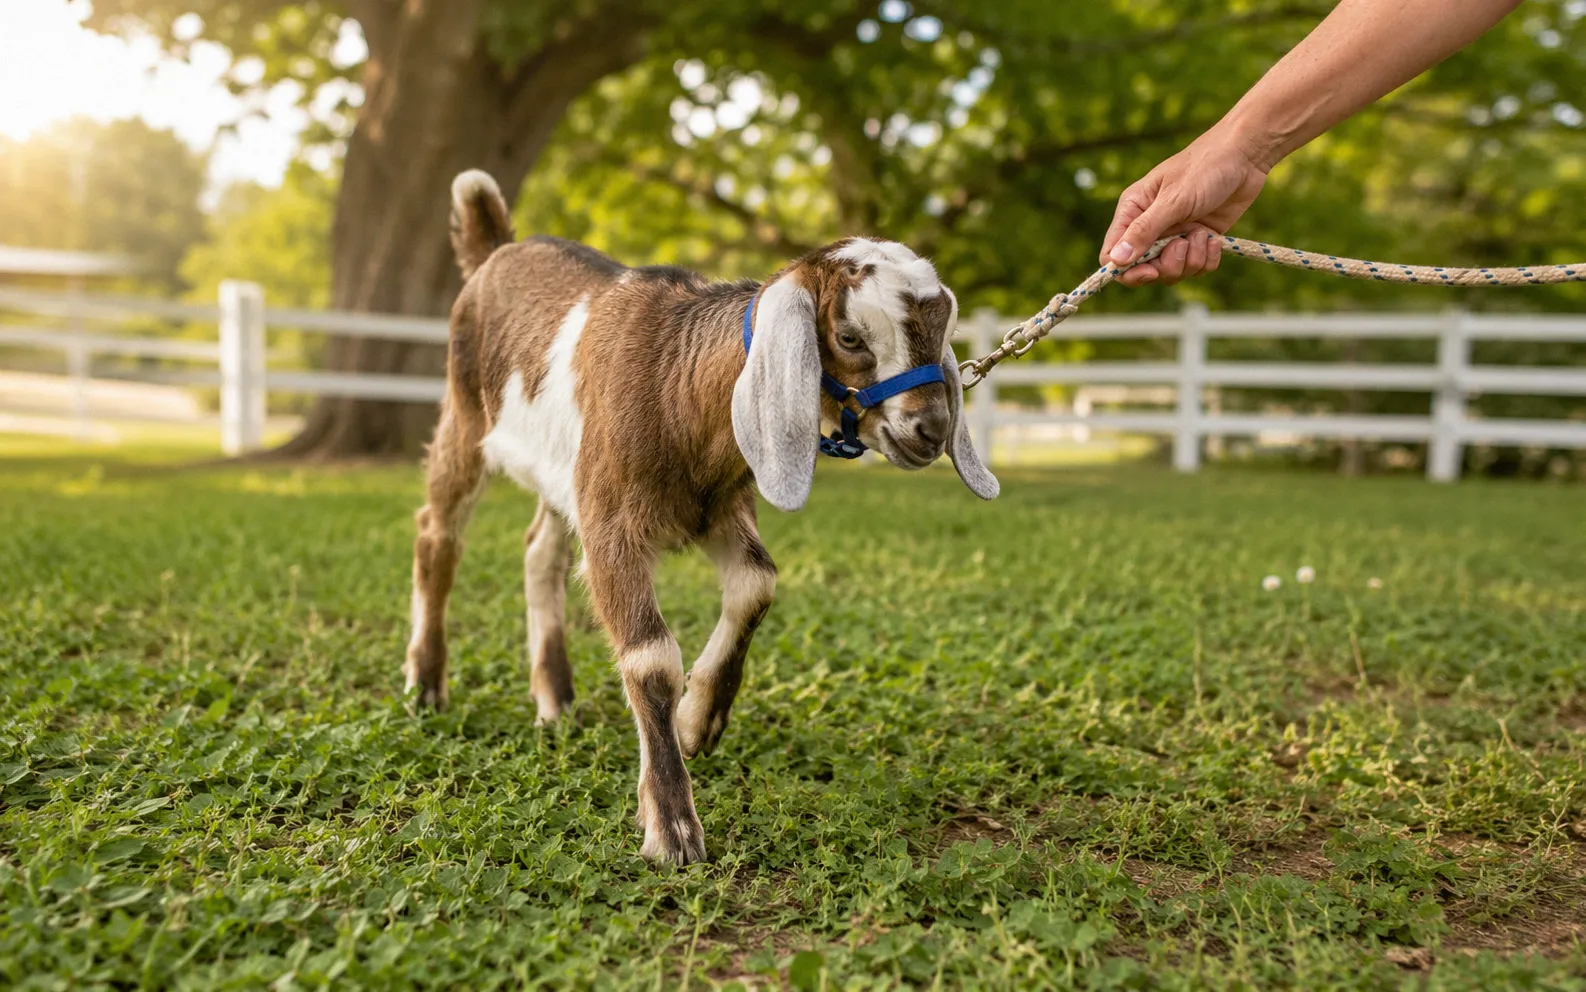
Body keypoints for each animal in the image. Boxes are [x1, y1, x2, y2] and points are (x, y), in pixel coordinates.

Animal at [405, 169, 998, 864]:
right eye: (851, 337)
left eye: (941, 330)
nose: (931, 429)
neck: (675, 385)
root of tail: (496, 247)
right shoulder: (611, 524)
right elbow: (650, 658)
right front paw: (672, 826)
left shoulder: (721, 506)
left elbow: (758, 583)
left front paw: (698, 720)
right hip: (465, 415)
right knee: (438, 533)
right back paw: (426, 684)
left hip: (561, 472)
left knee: (539, 552)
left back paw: (554, 699)